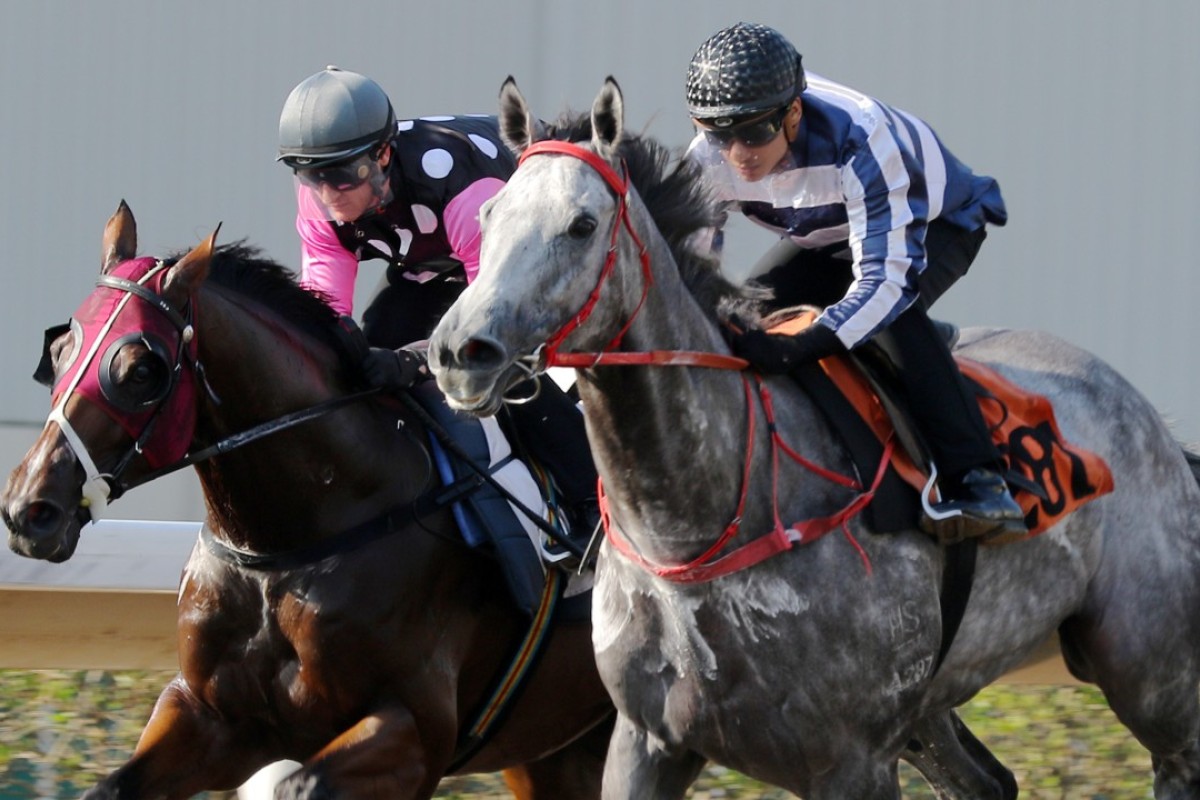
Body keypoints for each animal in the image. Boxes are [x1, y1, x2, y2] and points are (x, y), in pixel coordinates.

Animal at [0, 201, 614, 800]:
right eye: (60, 350)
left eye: (140, 370)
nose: (30, 509)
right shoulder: (214, 719)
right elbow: (111, 788)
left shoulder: (418, 729)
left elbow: (303, 785)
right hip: (557, 750)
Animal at [429, 76, 1200, 800]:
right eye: (490, 214)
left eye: (582, 224)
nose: (461, 352)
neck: (693, 530)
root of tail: (1154, 425)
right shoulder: (645, 744)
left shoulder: (850, 763)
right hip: (929, 713)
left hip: (1153, 674)